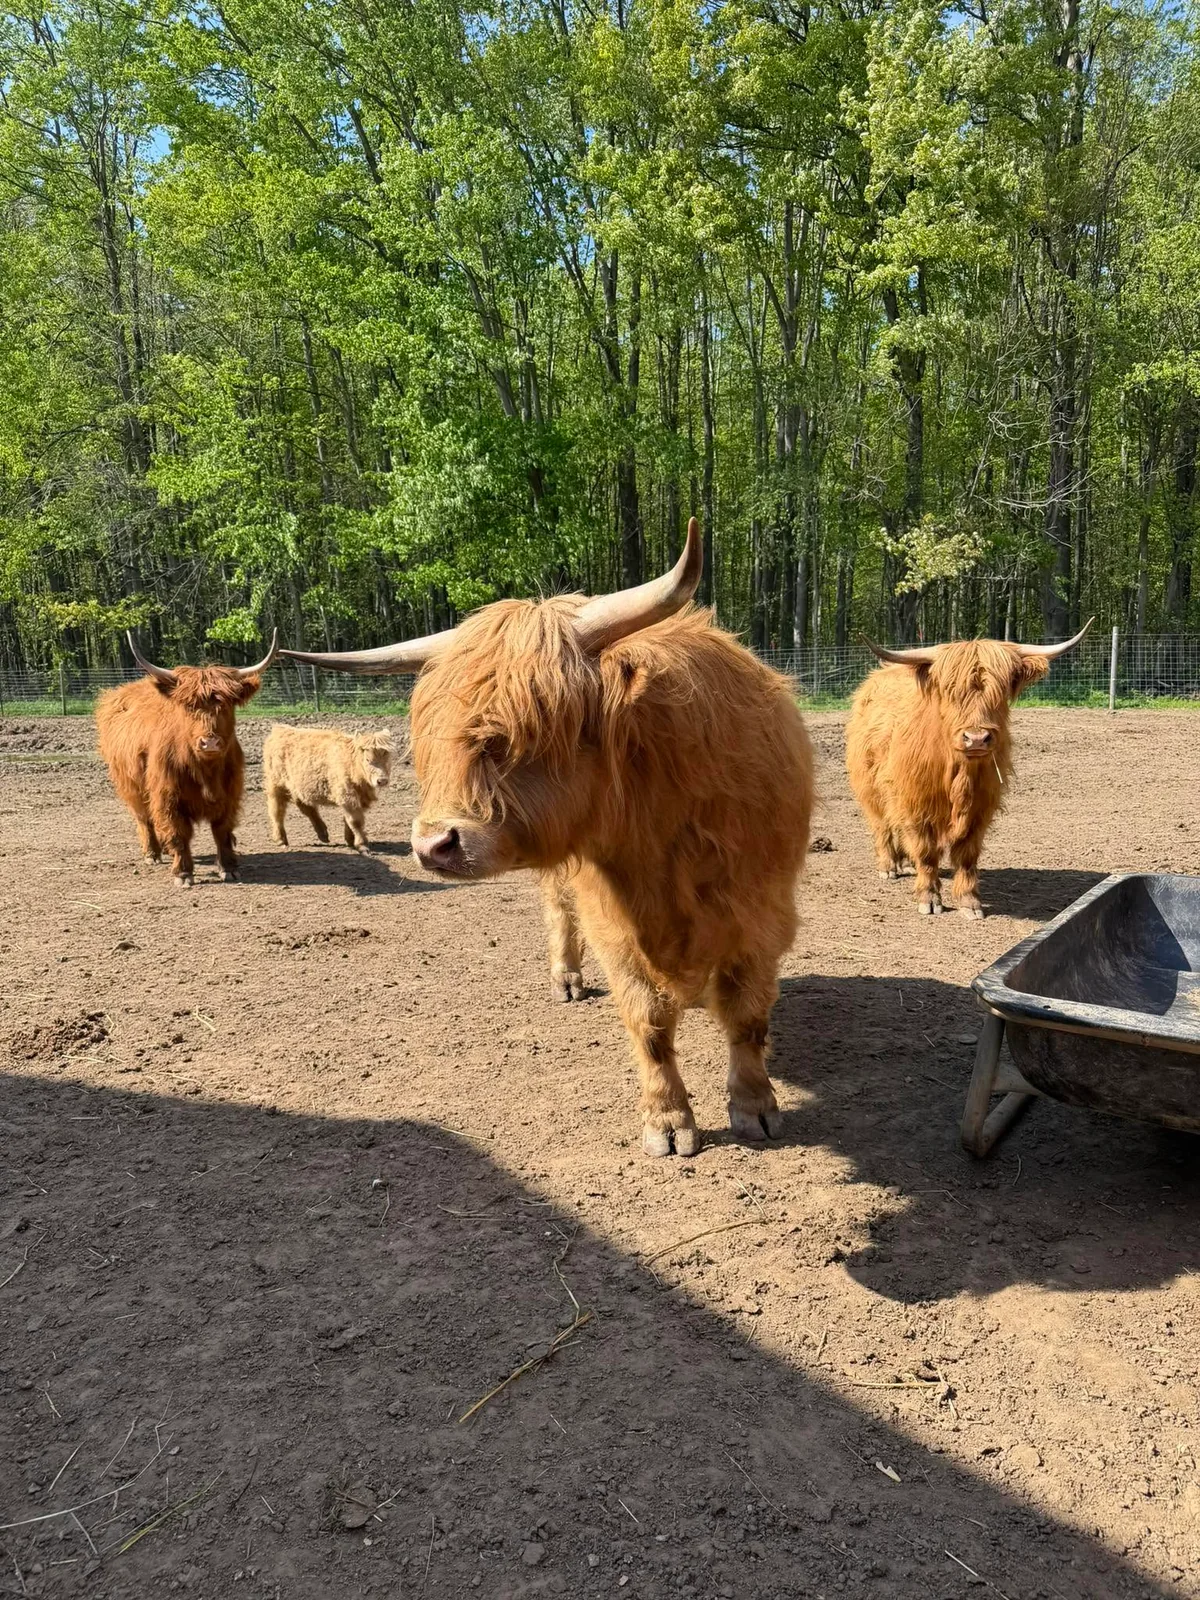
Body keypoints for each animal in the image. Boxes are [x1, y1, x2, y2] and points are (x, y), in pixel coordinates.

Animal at [96, 632, 277, 887]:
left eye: (226, 705)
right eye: (190, 706)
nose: (210, 743)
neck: (205, 771)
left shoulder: (230, 795)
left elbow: (223, 831)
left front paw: (229, 868)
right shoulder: (167, 796)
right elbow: (178, 832)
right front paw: (183, 873)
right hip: (131, 786)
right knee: (144, 818)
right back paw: (152, 853)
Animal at [263, 724, 394, 852]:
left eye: (387, 758)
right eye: (368, 759)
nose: (382, 780)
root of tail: (279, 729)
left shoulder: (359, 798)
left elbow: (349, 820)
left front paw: (350, 840)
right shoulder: (347, 796)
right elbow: (355, 821)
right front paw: (362, 845)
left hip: (297, 788)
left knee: (306, 808)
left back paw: (323, 834)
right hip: (276, 786)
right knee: (277, 811)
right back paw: (281, 839)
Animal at [281, 520, 814, 1157]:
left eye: (513, 736)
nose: (433, 845)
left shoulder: (760, 914)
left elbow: (747, 1016)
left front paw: (755, 1106)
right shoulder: (613, 923)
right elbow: (648, 1023)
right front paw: (667, 1121)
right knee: (559, 913)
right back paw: (566, 978)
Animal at [845, 625, 1091, 918]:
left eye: (1000, 691)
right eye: (951, 690)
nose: (976, 738)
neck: (959, 773)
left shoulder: (980, 809)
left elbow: (967, 855)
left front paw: (969, 901)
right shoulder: (916, 804)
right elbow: (926, 853)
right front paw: (929, 898)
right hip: (869, 786)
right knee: (881, 824)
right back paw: (888, 866)